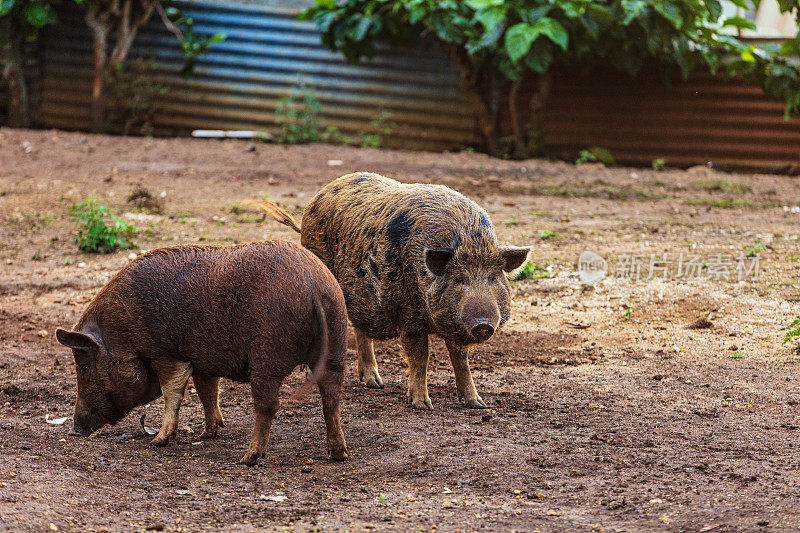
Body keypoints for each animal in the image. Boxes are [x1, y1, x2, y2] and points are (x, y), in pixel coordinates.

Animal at [53, 239, 346, 464]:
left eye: (84, 367)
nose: (75, 430)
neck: (122, 332)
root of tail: (314, 287)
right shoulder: (204, 360)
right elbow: (208, 391)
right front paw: (208, 434)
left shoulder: (167, 354)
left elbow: (173, 392)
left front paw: (158, 441)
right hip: (335, 345)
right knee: (331, 396)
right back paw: (338, 453)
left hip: (268, 356)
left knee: (268, 405)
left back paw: (248, 459)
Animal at [247, 172, 528, 410]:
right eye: (458, 279)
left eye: (493, 278)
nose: (483, 324)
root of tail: (315, 200)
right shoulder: (407, 314)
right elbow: (420, 357)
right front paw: (422, 406)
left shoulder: (454, 325)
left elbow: (461, 360)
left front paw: (477, 404)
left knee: (360, 330)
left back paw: (374, 382)